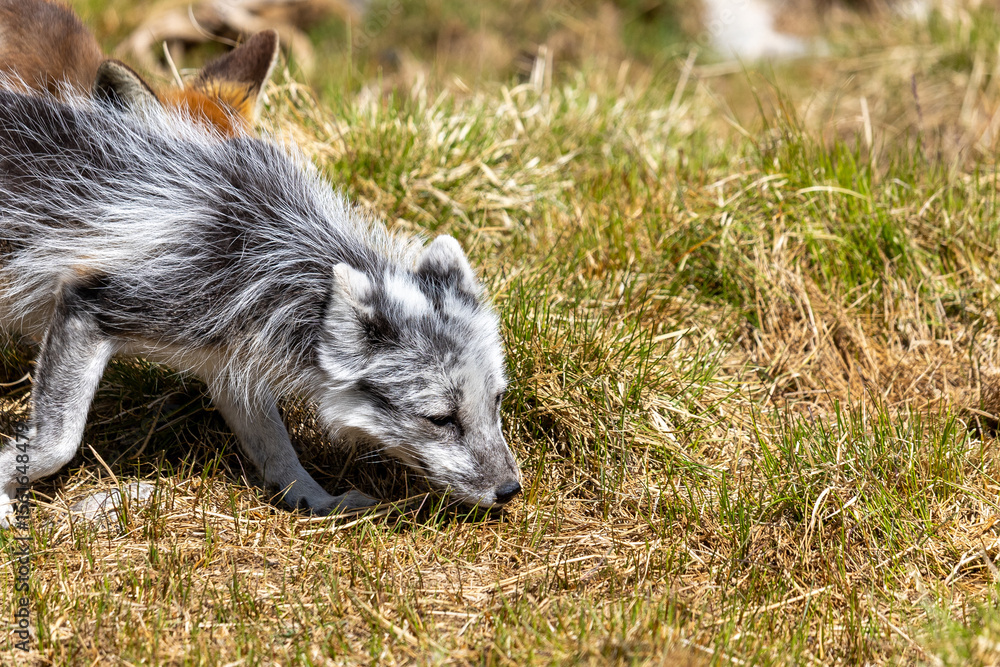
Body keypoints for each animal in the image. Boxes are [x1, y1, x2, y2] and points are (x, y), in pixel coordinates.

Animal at [0, 89, 521, 526]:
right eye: (441, 419)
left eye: (496, 400)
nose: (510, 491)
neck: (265, 251)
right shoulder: (94, 307)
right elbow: (55, 446)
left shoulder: (228, 364)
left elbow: (278, 452)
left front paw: (317, 501)